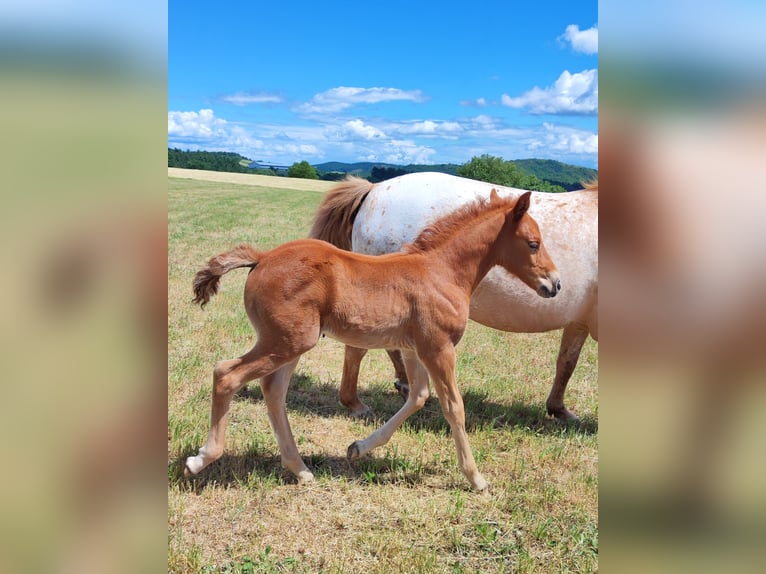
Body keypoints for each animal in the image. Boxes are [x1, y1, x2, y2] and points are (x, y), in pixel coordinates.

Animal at [184, 189, 560, 491]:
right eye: (533, 243)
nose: (555, 284)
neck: (441, 272)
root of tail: (262, 258)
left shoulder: (414, 349)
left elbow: (418, 397)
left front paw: (357, 448)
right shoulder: (439, 348)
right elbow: (454, 407)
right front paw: (476, 478)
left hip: (290, 342)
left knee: (272, 390)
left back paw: (300, 469)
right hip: (287, 341)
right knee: (226, 374)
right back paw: (200, 460)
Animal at [309, 172, 598, 422]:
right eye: (533, 244)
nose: (556, 283)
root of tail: (374, 189)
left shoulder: (579, 322)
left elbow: (566, 362)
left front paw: (559, 409)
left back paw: (404, 385)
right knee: (359, 348)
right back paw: (358, 402)